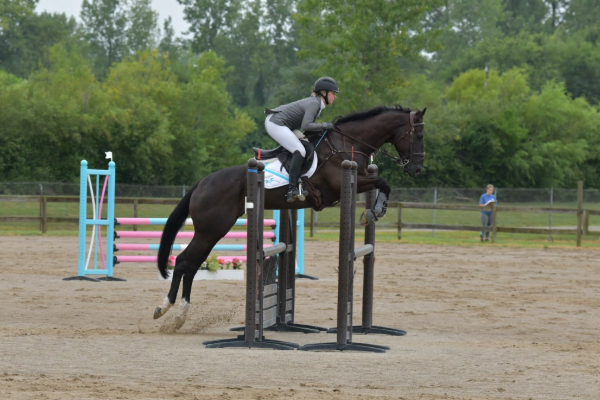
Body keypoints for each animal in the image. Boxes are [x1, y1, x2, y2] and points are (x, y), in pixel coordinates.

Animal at [155, 103, 426, 328]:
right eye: (419, 136)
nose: (417, 169)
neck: (346, 144)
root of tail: (202, 183)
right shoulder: (344, 183)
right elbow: (383, 181)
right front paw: (374, 211)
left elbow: (382, 182)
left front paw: (374, 211)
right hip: (211, 229)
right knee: (184, 262)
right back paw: (166, 309)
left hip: (213, 230)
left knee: (192, 264)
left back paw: (178, 315)